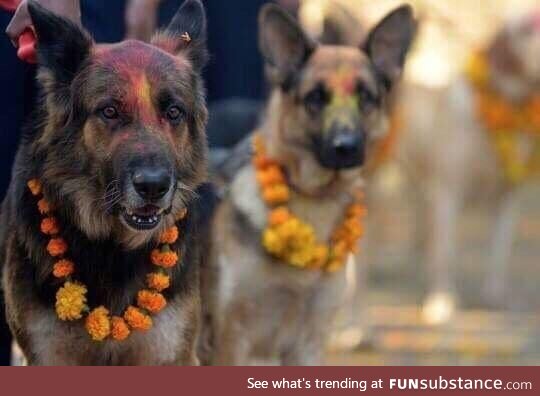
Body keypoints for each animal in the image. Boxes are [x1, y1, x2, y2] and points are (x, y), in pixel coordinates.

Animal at [1, 0, 214, 366]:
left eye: (173, 112)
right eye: (110, 111)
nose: (153, 187)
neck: (112, 247)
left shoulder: (169, 353)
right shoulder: (50, 356)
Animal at [202, 3, 414, 366]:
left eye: (366, 97)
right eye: (315, 97)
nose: (346, 147)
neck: (313, 198)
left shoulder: (308, 343)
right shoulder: (230, 340)